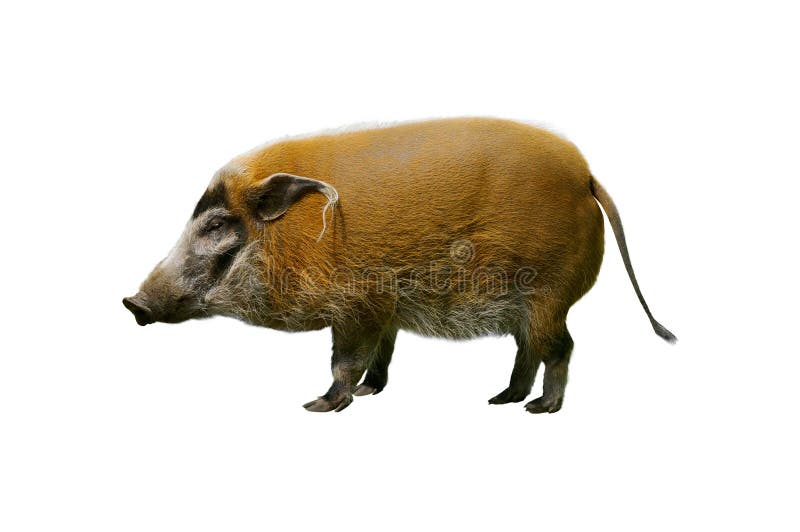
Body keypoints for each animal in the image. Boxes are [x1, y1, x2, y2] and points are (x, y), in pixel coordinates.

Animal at [123, 117, 676, 414]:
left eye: (216, 224)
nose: (132, 302)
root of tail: (587, 176)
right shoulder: (383, 311)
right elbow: (380, 357)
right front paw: (369, 393)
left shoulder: (357, 305)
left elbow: (344, 360)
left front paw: (317, 406)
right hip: (528, 305)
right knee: (528, 351)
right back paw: (500, 399)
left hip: (547, 295)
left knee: (560, 347)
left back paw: (539, 409)